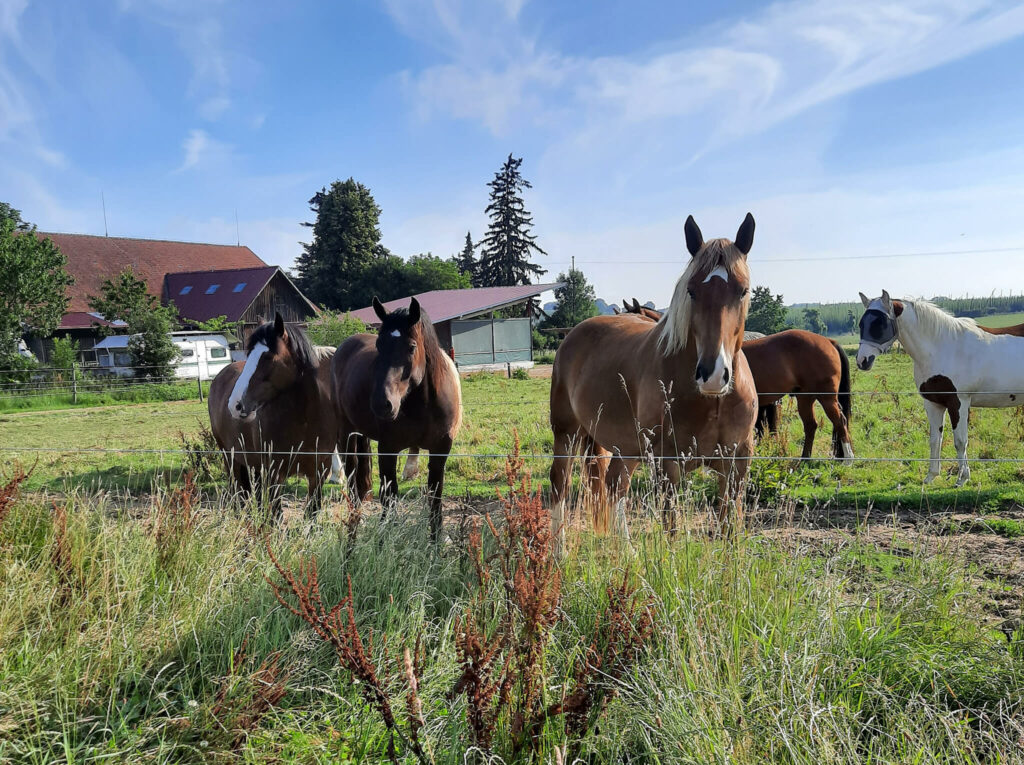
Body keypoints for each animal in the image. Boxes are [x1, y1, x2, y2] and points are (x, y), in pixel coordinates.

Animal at [209, 313, 337, 524]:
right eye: (249, 355)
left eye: (268, 356)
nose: (235, 404)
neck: (305, 422)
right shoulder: (274, 473)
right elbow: (276, 517)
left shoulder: (319, 473)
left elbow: (311, 514)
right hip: (230, 458)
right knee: (238, 495)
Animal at [331, 296, 464, 540]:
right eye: (379, 346)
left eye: (411, 347)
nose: (382, 404)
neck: (424, 404)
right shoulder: (388, 450)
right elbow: (389, 499)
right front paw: (384, 542)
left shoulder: (440, 450)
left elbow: (435, 500)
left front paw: (436, 544)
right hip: (346, 433)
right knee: (353, 478)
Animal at [552, 211, 761, 548]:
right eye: (691, 291)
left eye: (742, 290)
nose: (712, 374)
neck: (711, 401)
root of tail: (573, 335)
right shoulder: (668, 464)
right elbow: (671, 530)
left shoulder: (737, 460)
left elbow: (730, 529)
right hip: (566, 433)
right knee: (561, 483)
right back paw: (559, 553)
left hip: (624, 446)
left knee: (614, 485)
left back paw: (627, 553)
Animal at [851, 290, 1024, 487]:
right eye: (861, 323)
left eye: (880, 323)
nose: (862, 361)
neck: (943, 347)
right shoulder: (933, 404)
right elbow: (935, 440)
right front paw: (931, 476)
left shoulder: (959, 402)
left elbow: (960, 441)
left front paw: (962, 479)